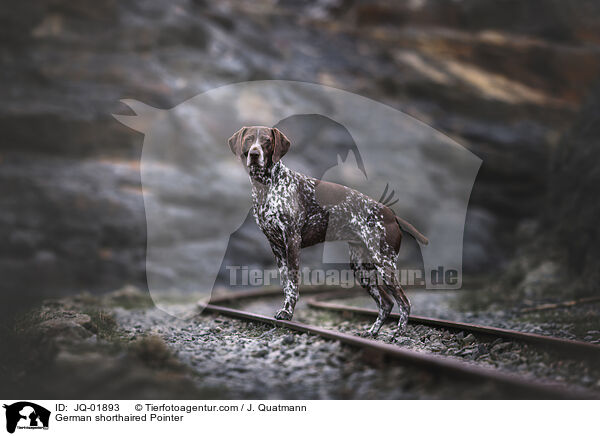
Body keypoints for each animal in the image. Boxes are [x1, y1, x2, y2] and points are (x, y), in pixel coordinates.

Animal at [227, 126, 428, 338]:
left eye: (266, 140)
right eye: (249, 139)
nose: (254, 154)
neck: (266, 186)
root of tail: (392, 215)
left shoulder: (292, 241)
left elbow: (293, 284)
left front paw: (287, 313)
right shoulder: (276, 247)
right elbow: (285, 284)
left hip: (384, 264)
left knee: (404, 302)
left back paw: (400, 332)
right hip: (361, 269)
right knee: (386, 303)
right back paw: (372, 332)